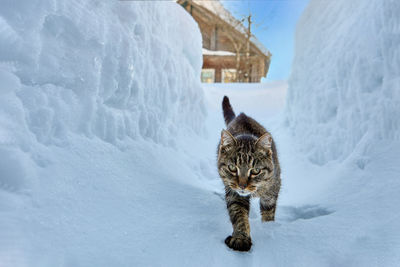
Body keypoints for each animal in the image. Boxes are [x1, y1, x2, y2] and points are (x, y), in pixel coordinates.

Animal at [217, 96, 280, 253]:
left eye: (256, 170)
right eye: (232, 168)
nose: (242, 186)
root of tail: (241, 115)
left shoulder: (272, 191)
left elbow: (268, 211)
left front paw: (268, 228)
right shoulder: (234, 194)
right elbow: (239, 214)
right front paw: (241, 238)